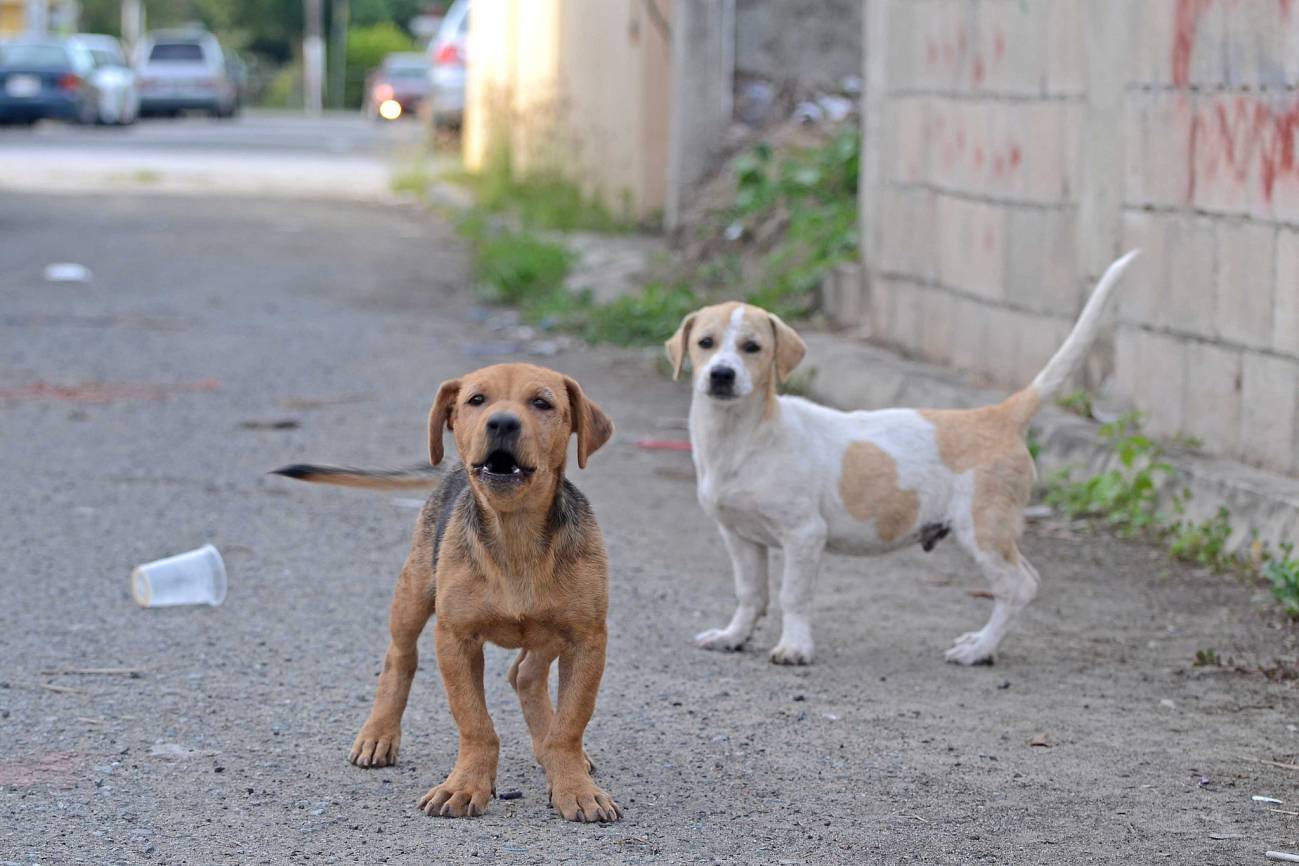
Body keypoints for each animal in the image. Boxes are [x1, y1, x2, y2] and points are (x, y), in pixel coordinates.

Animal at [274, 363, 618, 825]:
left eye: (542, 403)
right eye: (476, 400)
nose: (502, 423)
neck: (516, 533)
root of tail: (449, 467)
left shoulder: (586, 638)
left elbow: (569, 726)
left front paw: (575, 787)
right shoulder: (456, 638)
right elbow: (475, 723)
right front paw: (465, 786)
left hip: (552, 630)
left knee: (525, 674)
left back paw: (547, 750)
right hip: (413, 593)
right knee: (400, 657)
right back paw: (378, 735)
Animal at [670, 249, 1137, 664]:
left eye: (752, 347)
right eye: (705, 343)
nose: (722, 375)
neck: (741, 437)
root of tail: (997, 415)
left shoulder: (804, 534)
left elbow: (793, 597)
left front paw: (795, 648)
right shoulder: (739, 535)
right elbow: (751, 594)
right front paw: (733, 636)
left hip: (981, 529)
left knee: (1019, 586)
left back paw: (979, 651)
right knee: (1024, 580)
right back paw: (981, 642)